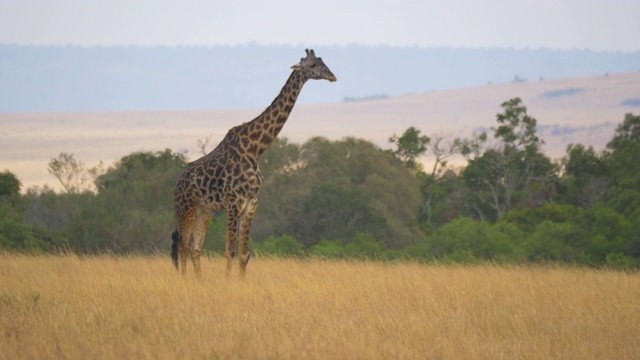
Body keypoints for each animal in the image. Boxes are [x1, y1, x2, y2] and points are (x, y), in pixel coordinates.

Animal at [171, 49, 340, 278]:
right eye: (312, 65)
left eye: (323, 61)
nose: (332, 76)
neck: (255, 150)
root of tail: (177, 183)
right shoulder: (233, 201)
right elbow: (230, 250)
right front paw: (228, 282)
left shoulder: (251, 202)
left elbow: (244, 254)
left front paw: (241, 282)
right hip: (185, 207)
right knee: (182, 244)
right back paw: (185, 281)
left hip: (203, 210)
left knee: (194, 246)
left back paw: (199, 281)